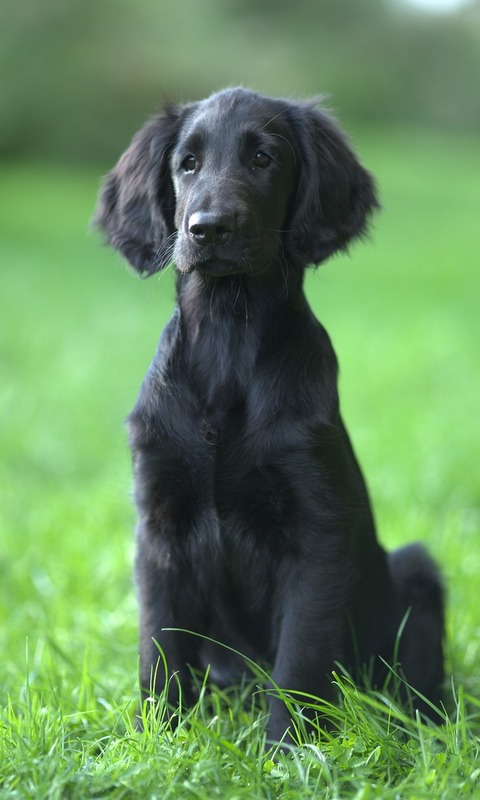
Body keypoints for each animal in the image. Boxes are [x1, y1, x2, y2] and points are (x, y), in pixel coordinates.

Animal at [95, 86, 444, 744]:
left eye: (263, 159)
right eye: (187, 164)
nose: (208, 228)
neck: (228, 332)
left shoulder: (317, 530)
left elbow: (300, 657)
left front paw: (288, 748)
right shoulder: (159, 524)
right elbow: (159, 645)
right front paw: (158, 737)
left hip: (416, 572)